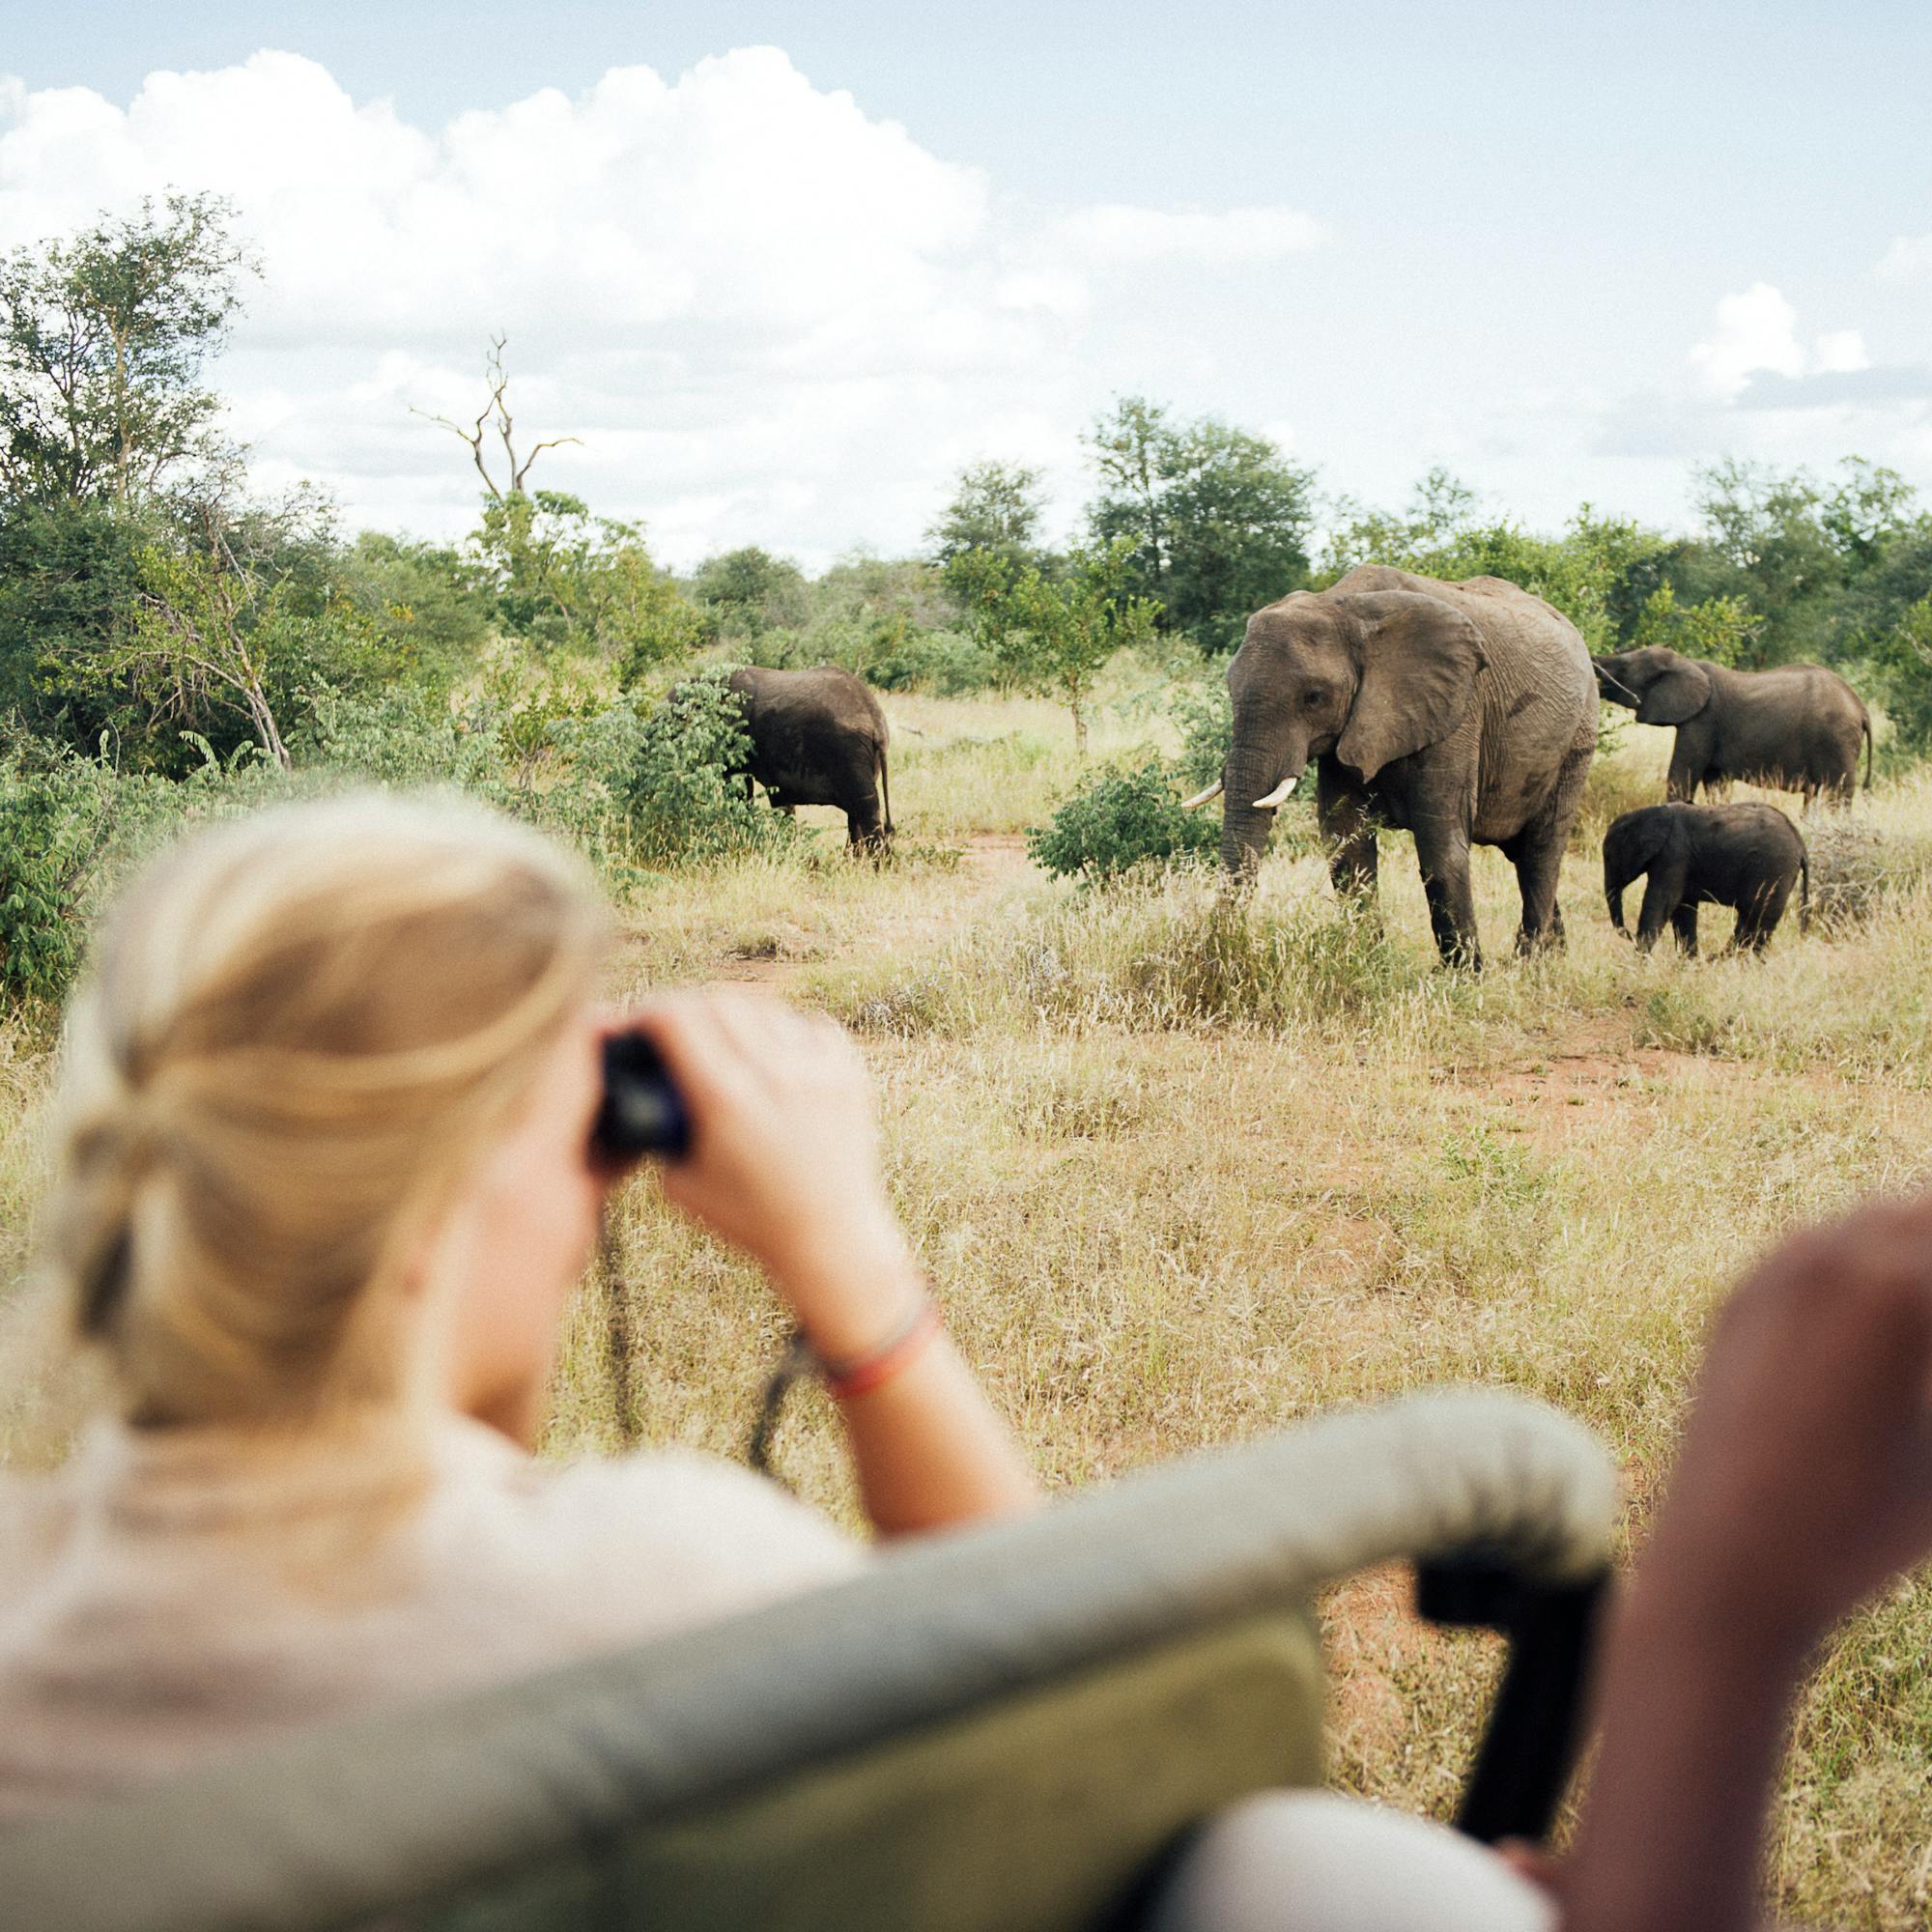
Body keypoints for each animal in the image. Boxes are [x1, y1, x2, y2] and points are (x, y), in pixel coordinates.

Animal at [1186, 565, 1598, 967]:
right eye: (1230, 689)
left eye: (1314, 697)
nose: (1220, 953)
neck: (1344, 605)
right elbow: (1346, 843)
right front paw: (1366, 963)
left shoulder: (1458, 712)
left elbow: (1439, 844)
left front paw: (1463, 975)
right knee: (1522, 855)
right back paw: (1554, 957)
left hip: (1577, 741)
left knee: (1541, 852)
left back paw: (1530, 965)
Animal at [1589, 647, 1871, 806]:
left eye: (1623, 667)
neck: (1687, 661)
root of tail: (1861, 707)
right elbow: (1716, 784)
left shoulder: (1703, 720)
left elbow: (1681, 777)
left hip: (1837, 740)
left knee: (1836, 795)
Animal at [1602, 802, 1808, 955]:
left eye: (1609, 859)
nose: (1628, 934)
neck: (1649, 813)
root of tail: (1800, 842)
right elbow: (1683, 909)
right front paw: (1687, 964)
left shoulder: (1673, 855)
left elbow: (1663, 902)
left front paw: (1641, 961)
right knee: (1750, 919)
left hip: (1774, 870)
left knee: (1758, 920)